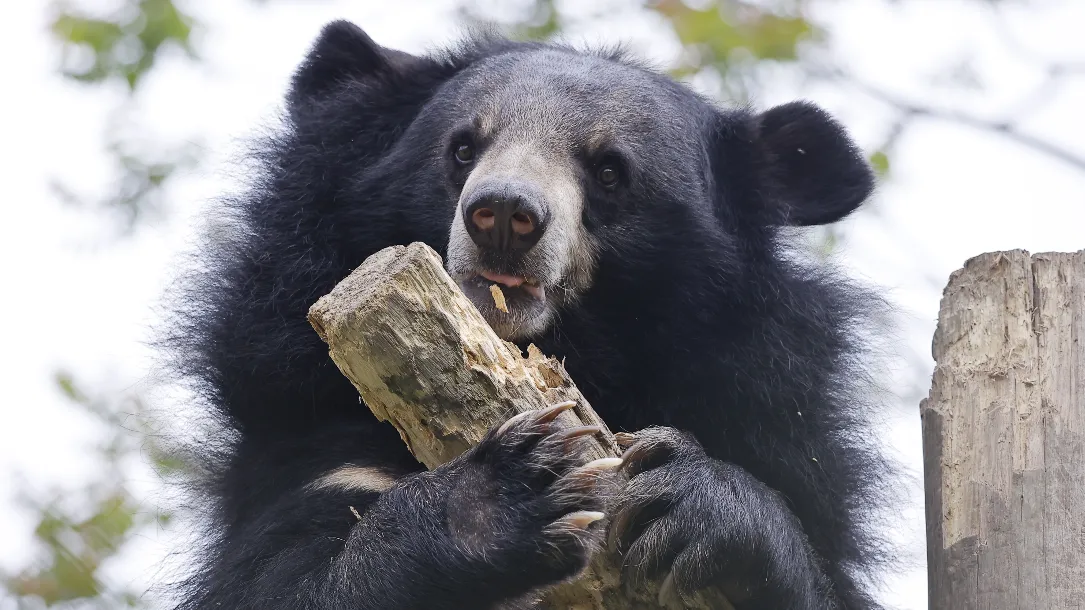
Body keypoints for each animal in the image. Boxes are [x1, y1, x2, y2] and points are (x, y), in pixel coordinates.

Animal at [166, 19, 893, 610]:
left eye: (608, 170)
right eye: (463, 147)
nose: (503, 215)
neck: (589, 355)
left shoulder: (763, 402)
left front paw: (695, 501)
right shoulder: (309, 426)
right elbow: (280, 582)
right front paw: (512, 491)